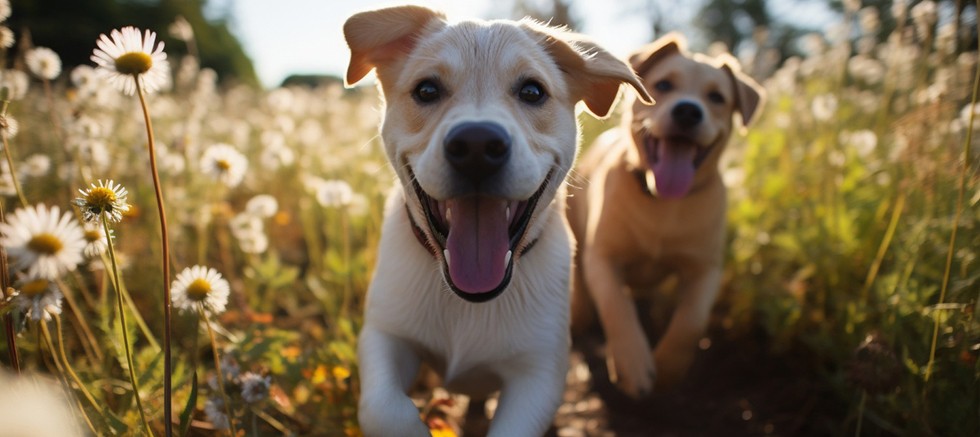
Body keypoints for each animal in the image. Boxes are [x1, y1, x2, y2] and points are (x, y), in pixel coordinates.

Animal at [344, 4, 652, 436]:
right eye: (426, 90)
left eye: (532, 91)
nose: (476, 145)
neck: (468, 300)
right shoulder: (384, 336)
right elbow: (384, 408)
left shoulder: (539, 375)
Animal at [568, 32, 764, 396]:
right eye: (662, 85)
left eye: (716, 97)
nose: (688, 111)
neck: (662, 202)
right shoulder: (602, 257)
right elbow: (616, 306)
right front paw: (632, 363)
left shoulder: (706, 268)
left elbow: (691, 320)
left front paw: (669, 368)